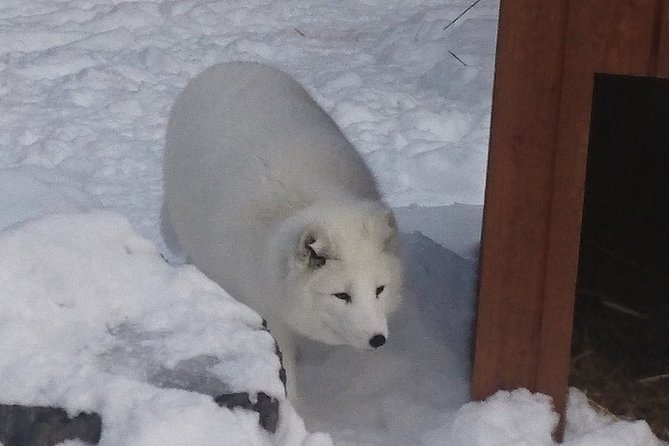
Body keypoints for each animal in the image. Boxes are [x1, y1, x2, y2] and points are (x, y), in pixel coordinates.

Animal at [163, 62, 402, 400]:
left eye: (379, 290)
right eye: (341, 295)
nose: (378, 339)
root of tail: (224, 65)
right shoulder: (268, 315)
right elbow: (285, 372)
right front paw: (295, 410)